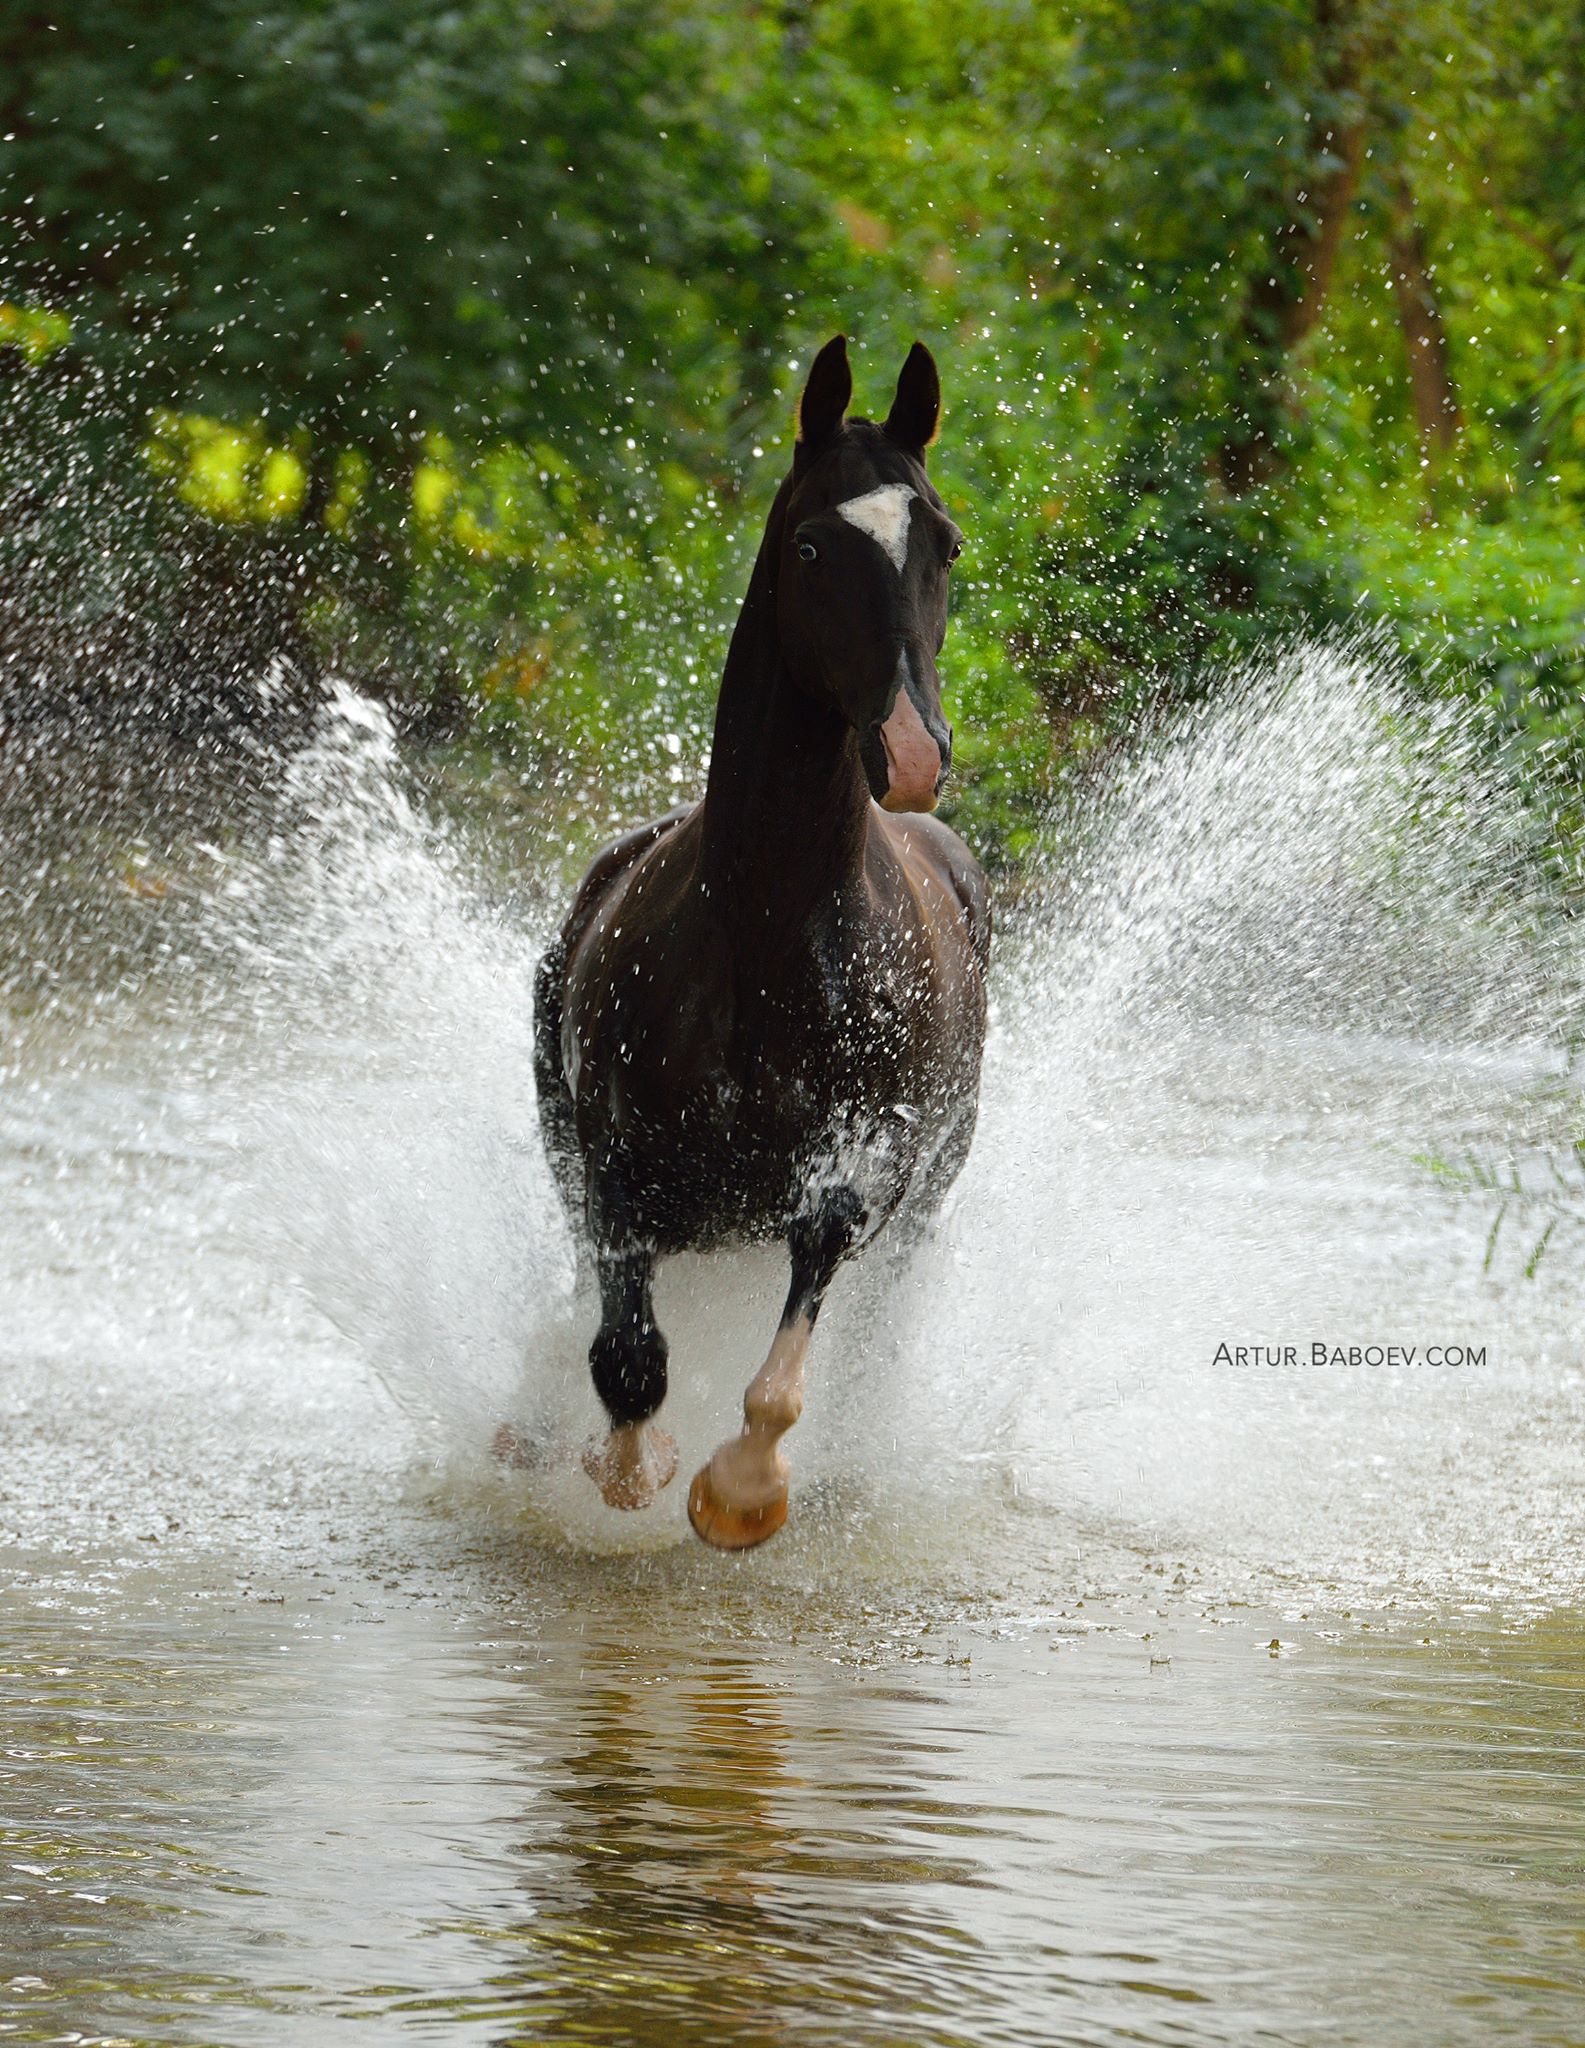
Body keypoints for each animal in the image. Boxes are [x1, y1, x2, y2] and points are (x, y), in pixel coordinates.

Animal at [532, 339, 991, 1548]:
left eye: (943, 540)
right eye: (812, 544)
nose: (910, 753)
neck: (768, 932)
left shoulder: (863, 1166)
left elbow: (800, 1306)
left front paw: (739, 1493)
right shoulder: (615, 1163)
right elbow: (628, 1354)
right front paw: (629, 1467)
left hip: (923, 1209)